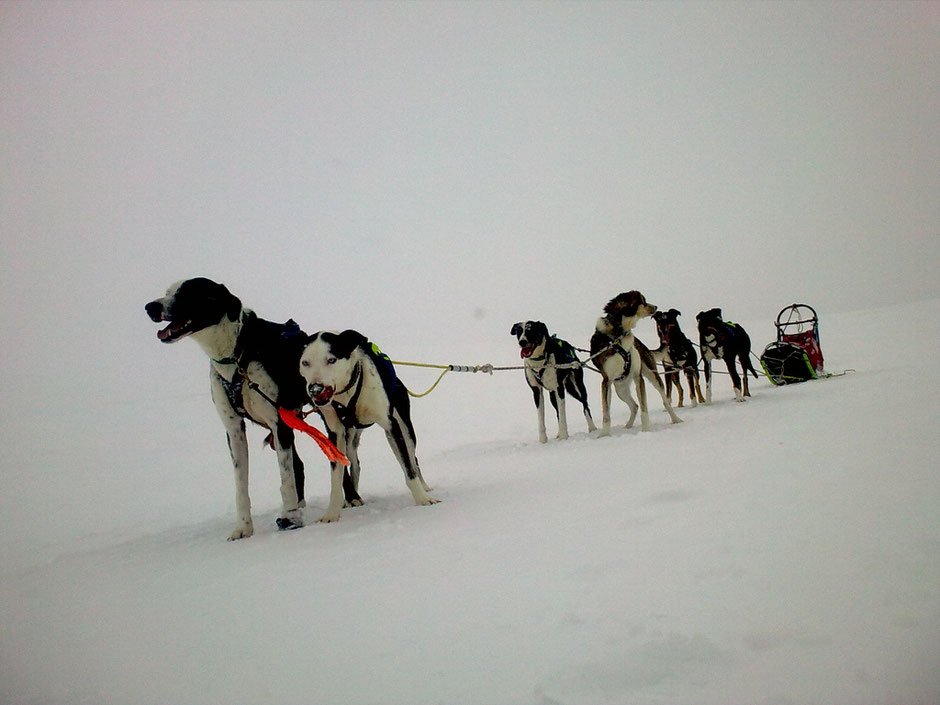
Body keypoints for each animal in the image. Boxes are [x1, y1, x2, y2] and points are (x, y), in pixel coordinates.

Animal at [147, 276, 360, 540]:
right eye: (167, 292)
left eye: (187, 292)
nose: (150, 307)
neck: (238, 355)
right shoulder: (234, 430)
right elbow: (241, 487)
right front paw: (243, 527)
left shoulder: (278, 423)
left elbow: (286, 478)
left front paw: (290, 518)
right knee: (298, 464)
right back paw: (300, 503)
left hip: (320, 416)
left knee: (336, 458)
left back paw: (348, 498)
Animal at [298, 330, 436, 524]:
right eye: (305, 362)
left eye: (331, 360)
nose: (315, 389)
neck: (347, 394)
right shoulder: (335, 434)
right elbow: (336, 478)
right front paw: (331, 514)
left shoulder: (391, 426)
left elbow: (408, 468)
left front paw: (422, 499)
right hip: (349, 439)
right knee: (354, 464)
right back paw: (352, 498)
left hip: (405, 430)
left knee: (412, 458)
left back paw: (424, 487)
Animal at [588, 290, 684, 434]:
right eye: (642, 301)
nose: (655, 307)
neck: (619, 335)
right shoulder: (606, 381)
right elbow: (606, 413)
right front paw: (604, 434)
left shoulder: (637, 376)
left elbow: (644, 409)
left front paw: (646, 430)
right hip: (620, 388)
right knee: (634, 406)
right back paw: (628, 425)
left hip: (652, 375)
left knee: (665, 401)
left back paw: (676, 419)